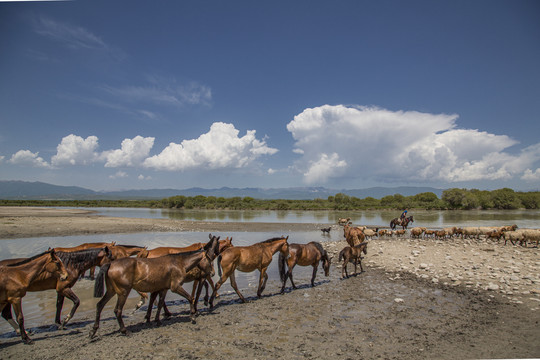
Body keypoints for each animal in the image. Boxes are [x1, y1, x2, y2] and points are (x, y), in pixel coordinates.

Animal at [89, 236, 218, 338]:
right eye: (210, 260)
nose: (212, 273)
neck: (179, 263)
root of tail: (110, 264)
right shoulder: (176, 287)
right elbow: (191, 297)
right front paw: (193, 316)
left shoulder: (164, 288)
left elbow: (160, 303)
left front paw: (157, 320)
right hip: (123, 292)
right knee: (117, 310)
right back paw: (125, 331)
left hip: (111, 290)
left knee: (100, 305)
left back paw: (93, 331)